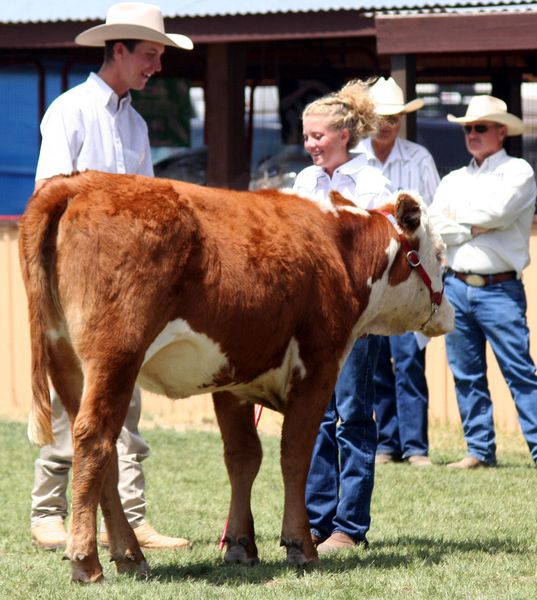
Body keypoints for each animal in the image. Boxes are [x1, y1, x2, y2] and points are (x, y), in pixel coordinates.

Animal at [17, 170, 452, 580]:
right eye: (440, 255)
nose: (448, 316)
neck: (338, 249)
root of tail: (80, 183)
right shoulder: (318, 365)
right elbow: (295, 454)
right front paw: (301, 546)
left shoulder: (234, 378)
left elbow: (244, 457)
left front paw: (241, 546)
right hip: (115, 355)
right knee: (95, 440)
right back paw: (86, 561)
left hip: (66, 362)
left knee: (98, 446)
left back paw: (130, 556)